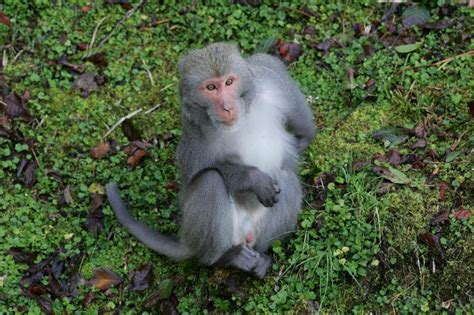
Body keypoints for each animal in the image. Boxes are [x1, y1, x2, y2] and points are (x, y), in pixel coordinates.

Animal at [107, 42, 314, 278]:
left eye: (229, 82)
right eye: (211, 88)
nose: (227, 107)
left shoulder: (268, 76)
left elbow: (293, 100)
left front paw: (304, 138)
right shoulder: (193, 135)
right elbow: (197, 173)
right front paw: (252, 178)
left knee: (286, 178)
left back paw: (263, 256)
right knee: (211, 181)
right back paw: (223, 258)